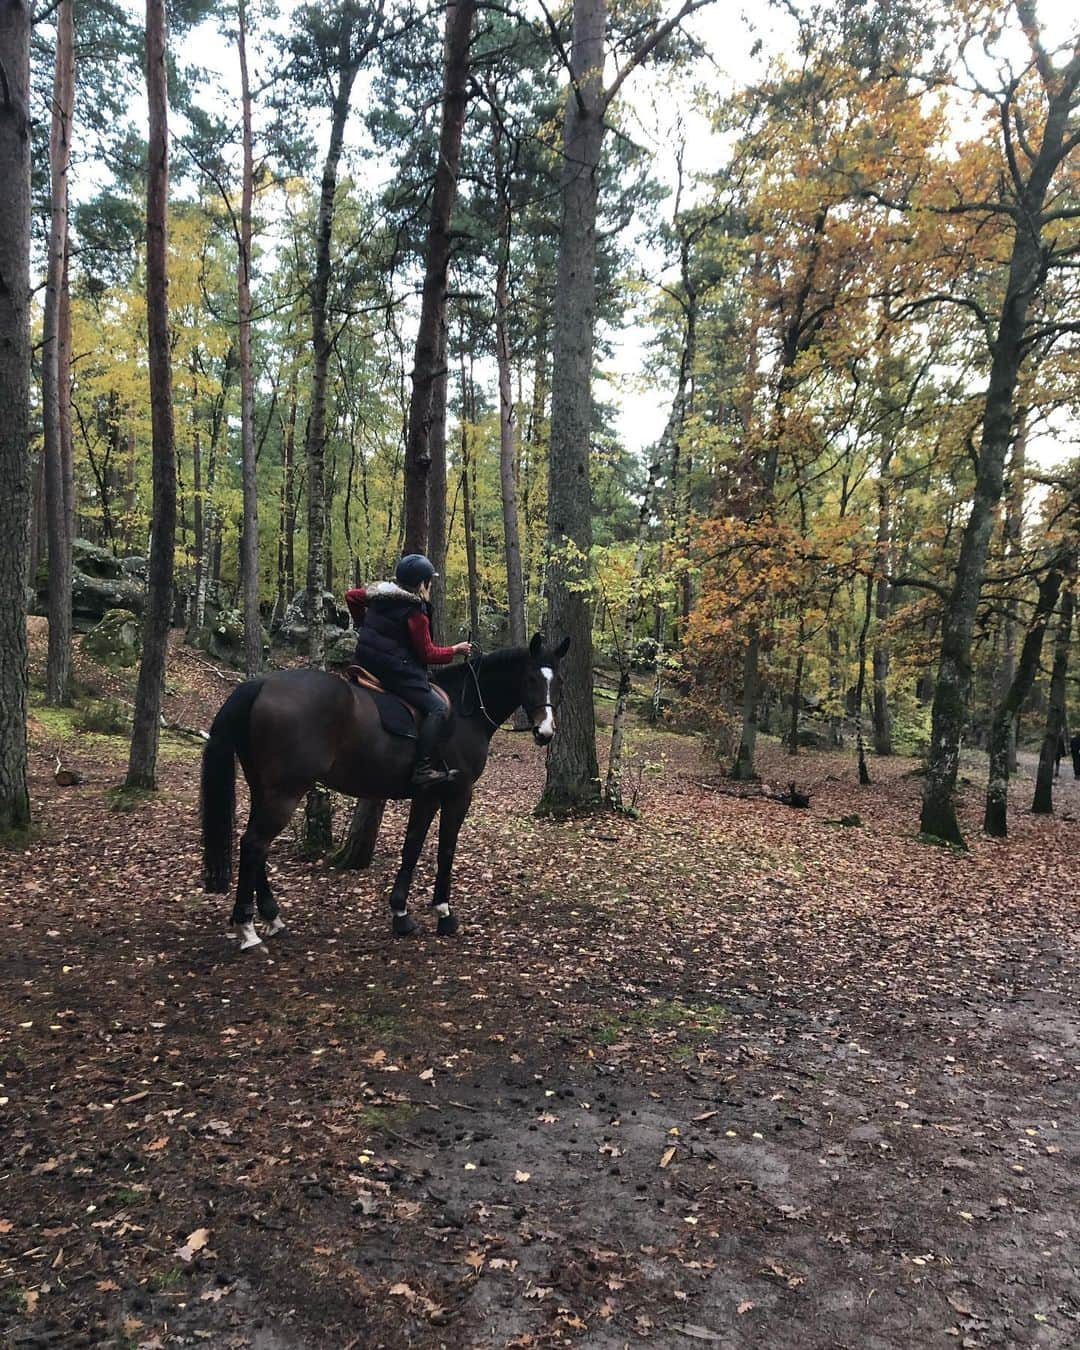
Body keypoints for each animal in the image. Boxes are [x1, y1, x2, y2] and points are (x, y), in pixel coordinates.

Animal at [205, 634, 572, 945]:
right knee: (254, 844)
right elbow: (445, 849)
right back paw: (247, 928)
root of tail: (261, 683)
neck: (464, 708)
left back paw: (271, 917)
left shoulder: (427, 795)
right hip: (285, 791)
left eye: (558, 682)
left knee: (255, 845)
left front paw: (401, 914)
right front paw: (444, 914)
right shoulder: (457, 793)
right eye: (531, 679)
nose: (545, 732)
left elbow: (412, 847)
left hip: (263, 788)